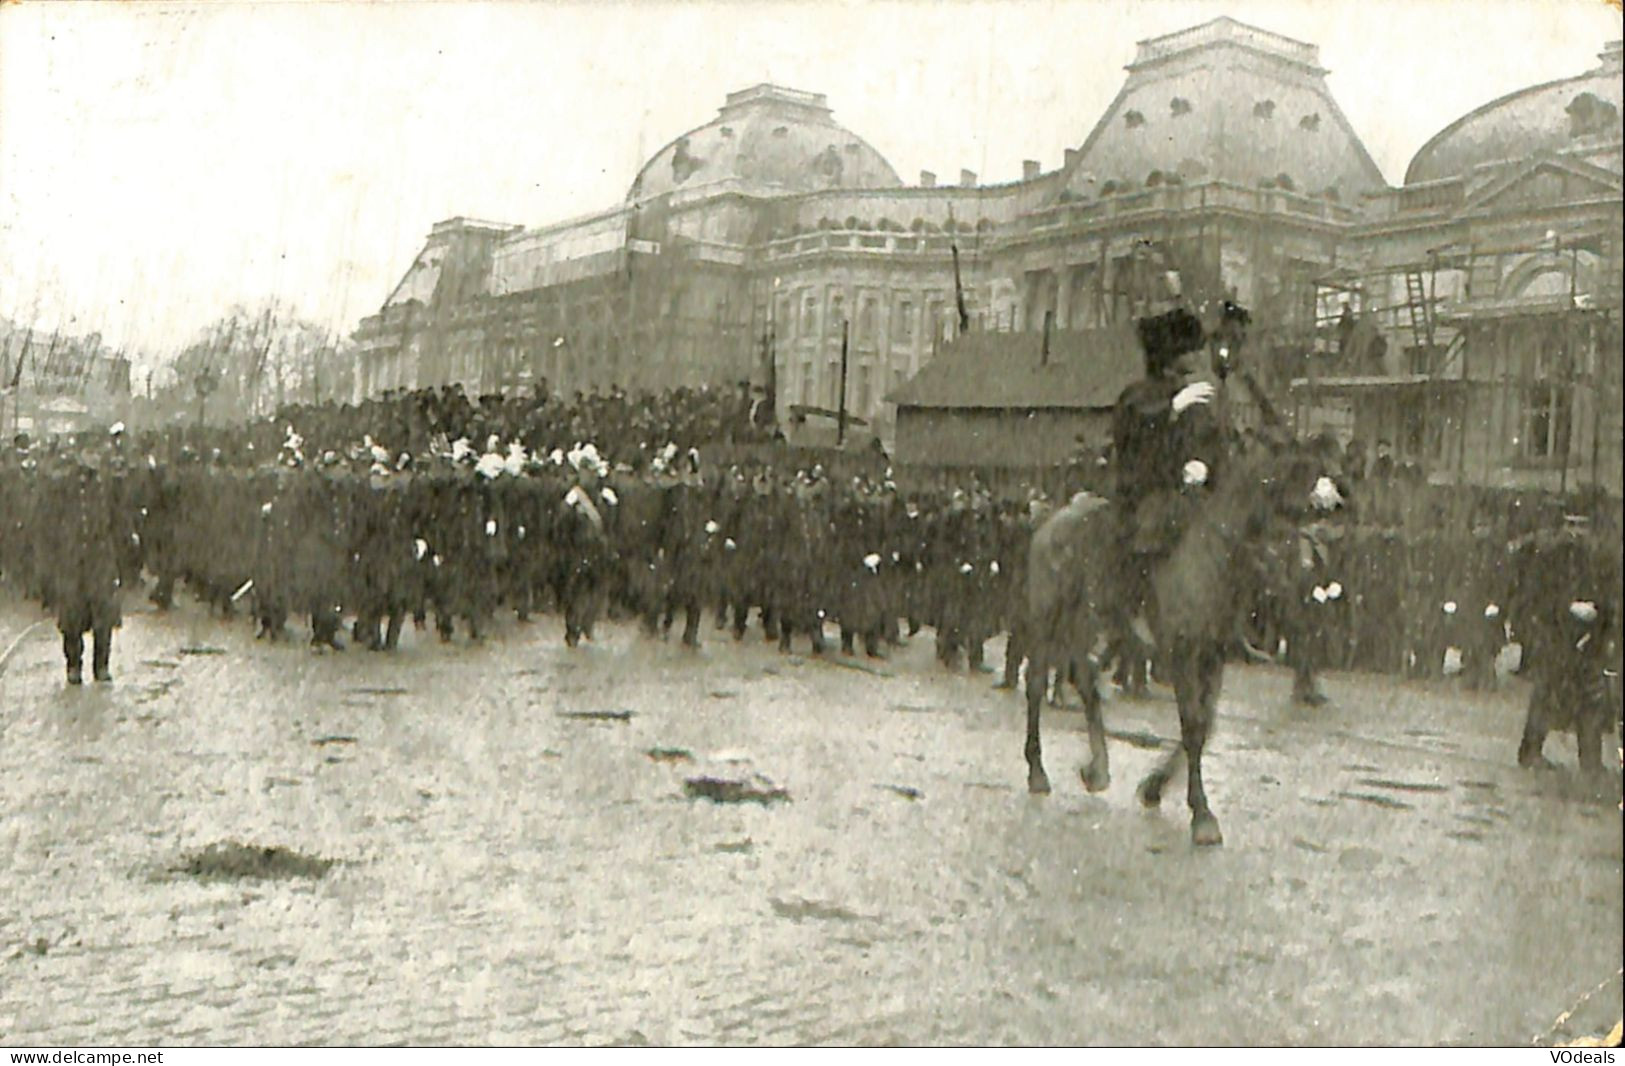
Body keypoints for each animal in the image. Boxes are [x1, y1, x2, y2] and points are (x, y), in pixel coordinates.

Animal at [1027, 445, 1319, 845]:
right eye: (1278, 501)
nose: (1301, 578)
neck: (1209, 559)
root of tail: (1051, 522)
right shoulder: (1182, 655)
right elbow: (1193, 726)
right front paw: (1202, 815)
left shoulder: (1212, 657)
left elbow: (1204, 726)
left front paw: (1154, 787)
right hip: (1046, 624)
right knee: (1036, 686)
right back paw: (1037, 771)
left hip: (1087, 628)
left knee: (1086, 684)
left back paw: (1097, 769)